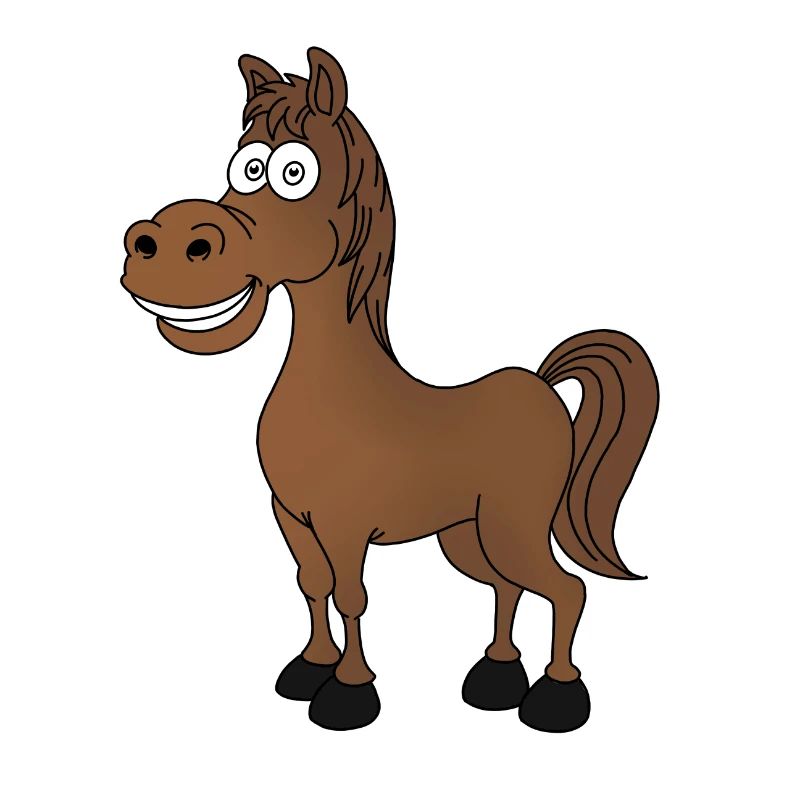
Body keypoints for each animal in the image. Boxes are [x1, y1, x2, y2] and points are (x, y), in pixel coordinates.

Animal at [121, 47, 659, 732]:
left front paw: (349, 693)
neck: (340, 393)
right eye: (244, 165)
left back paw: (556, 697)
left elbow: (352, 595)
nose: (159, 245)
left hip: (513, 526)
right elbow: (312, 584)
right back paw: (495, 676)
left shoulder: (346, 523)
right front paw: (308, 669)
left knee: (566, 589)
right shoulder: (291, 517)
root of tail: (541, 384)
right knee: (506, 587)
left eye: (293, 171)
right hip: (467, 534)